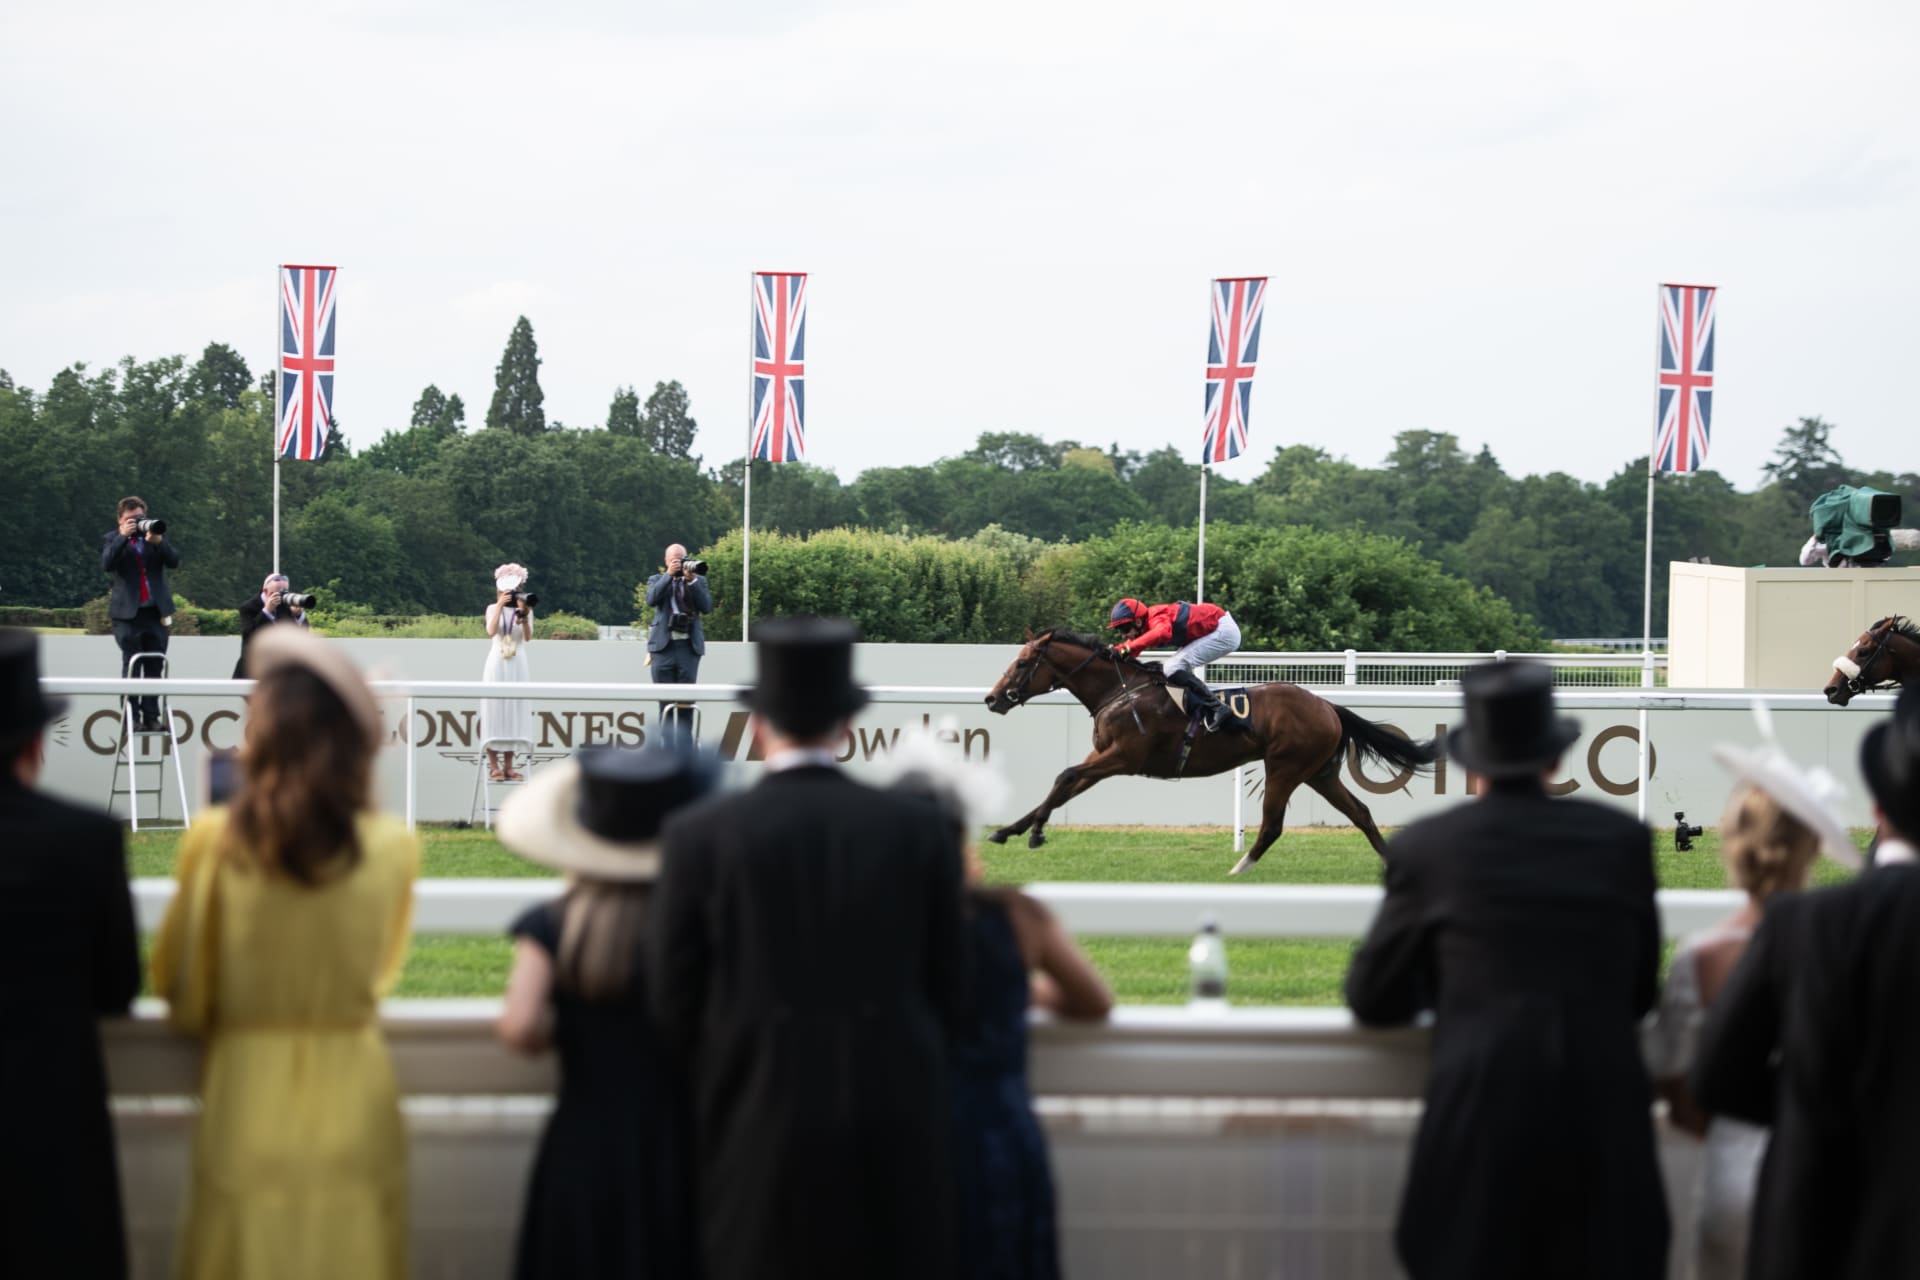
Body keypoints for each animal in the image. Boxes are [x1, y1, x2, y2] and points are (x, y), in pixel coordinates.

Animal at [983, 633, 1436, 882]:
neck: (1119, 690)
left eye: (1022, 663)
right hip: (1319, 772)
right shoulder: (1102, 757)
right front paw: (1009, 830)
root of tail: (1327, 706)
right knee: (1360, 812)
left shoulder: (1124, 758)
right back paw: (1390, 864)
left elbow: (1063, 777)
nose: (991, 699)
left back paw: (1238, 870)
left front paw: (1035, 833)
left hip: (1285, 767)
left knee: (1272, 825)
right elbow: (1064, 787)